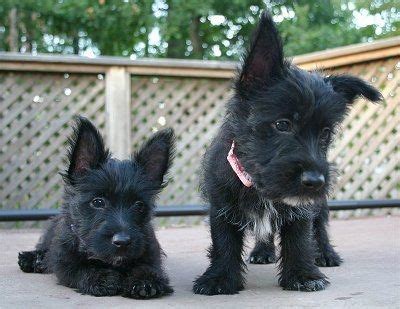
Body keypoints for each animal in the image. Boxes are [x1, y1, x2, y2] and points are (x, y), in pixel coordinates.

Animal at [18, 116, 175, 298]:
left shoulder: (150, 252)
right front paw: (102, 278)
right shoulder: (63, 261)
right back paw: (32, 258)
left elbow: (147, 267)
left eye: (139, 205)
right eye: (98, 202)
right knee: (43, 248)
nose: (122, 241)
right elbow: (80, 269)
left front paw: (146, 281)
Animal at [194, 10, 382, 294]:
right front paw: (219, 278)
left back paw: (326, 254)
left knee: (320, 227)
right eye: (282, 124)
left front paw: (303, 275)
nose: (315, 181)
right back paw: (263, 251)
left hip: (319, 204)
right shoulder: (221, 204)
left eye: (325, 133)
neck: (258, 185)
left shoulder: (302, 208)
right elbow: (224, 241)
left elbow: (300, 238)